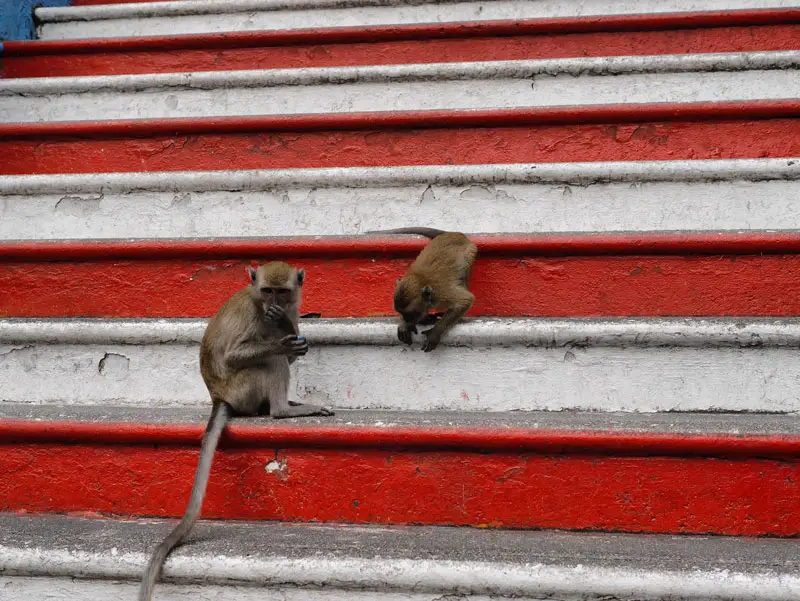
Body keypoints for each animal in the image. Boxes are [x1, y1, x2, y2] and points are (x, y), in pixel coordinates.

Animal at [139, 262, 332, 600]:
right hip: (242, 389)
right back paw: (282, 409)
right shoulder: (252, 315)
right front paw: (281, 337)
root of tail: (220, 396)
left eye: (282, 292)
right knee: (270, 362)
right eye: (267, 291)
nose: (274, 305)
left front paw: (292, 335)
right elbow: (239, 355)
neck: (261, 305)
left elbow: (294, 347)